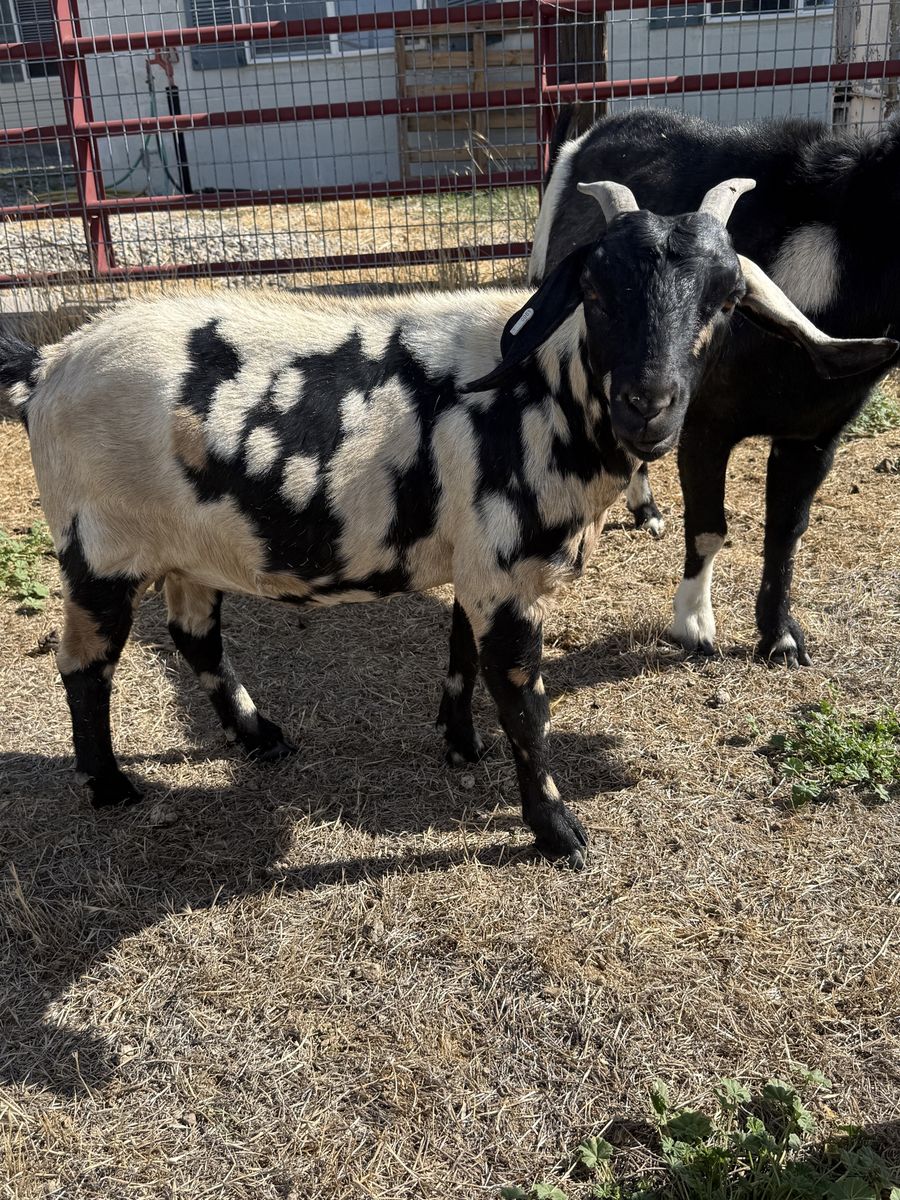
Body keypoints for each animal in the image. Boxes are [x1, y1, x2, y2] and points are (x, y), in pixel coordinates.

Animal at [2, 180, 894, 867]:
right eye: (596, 291)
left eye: (729, 297)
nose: (648, 406)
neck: (543, 388)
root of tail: (48, 365)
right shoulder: (506, 571)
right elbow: (526, 707)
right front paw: (557, 832)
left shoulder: (478, 559)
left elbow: (462, 655)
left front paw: (459, 744)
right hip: (99, 548)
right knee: (85, 665)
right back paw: (110, 785)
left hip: (196, 544)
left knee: (194, 636)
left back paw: (258, 736)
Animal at [530, 106, 900, 666]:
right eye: (593, 289)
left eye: (730, 299)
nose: (649, 403)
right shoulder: (703, 424)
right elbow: (709, 527)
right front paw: (694, 626)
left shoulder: (816, 431)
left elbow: (787, 530)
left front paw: (780, 636)